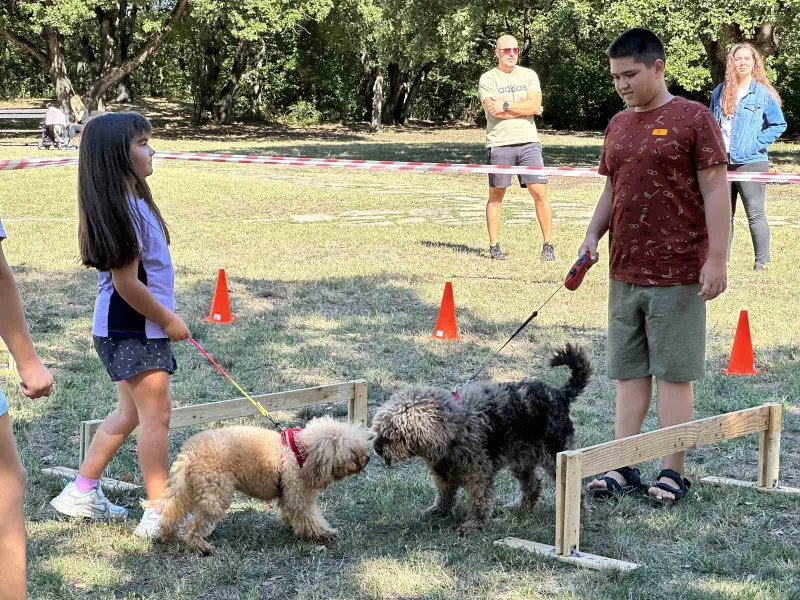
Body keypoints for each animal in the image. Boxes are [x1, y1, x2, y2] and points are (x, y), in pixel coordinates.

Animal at [158, 418, 374, 552]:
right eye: (353, 452)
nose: (368, 458)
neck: (299, 452)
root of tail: (190, 452)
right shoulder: (298, 491)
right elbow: (308, 516)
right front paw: (324, 533)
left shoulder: (288, 491)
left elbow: (289, 512)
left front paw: (292, 526)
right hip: (215, 493)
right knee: (193, 525)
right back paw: (201, 547)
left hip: (188, 487)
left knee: (172, 510)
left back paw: (166, 534)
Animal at [372, 342, 592, 536]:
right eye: (380, 430)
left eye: (394, 434)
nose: (377, 448)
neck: (455, 428)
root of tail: (560, 394)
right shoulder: (443, 473)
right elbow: (444, 494)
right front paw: (440, 511)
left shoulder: (478, 474)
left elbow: (479, 500)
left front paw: (473, 525)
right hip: (521, 460)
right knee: (533, 486)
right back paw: (520, 507)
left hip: (557, 457)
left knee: (574, 490)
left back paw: (580, 516)